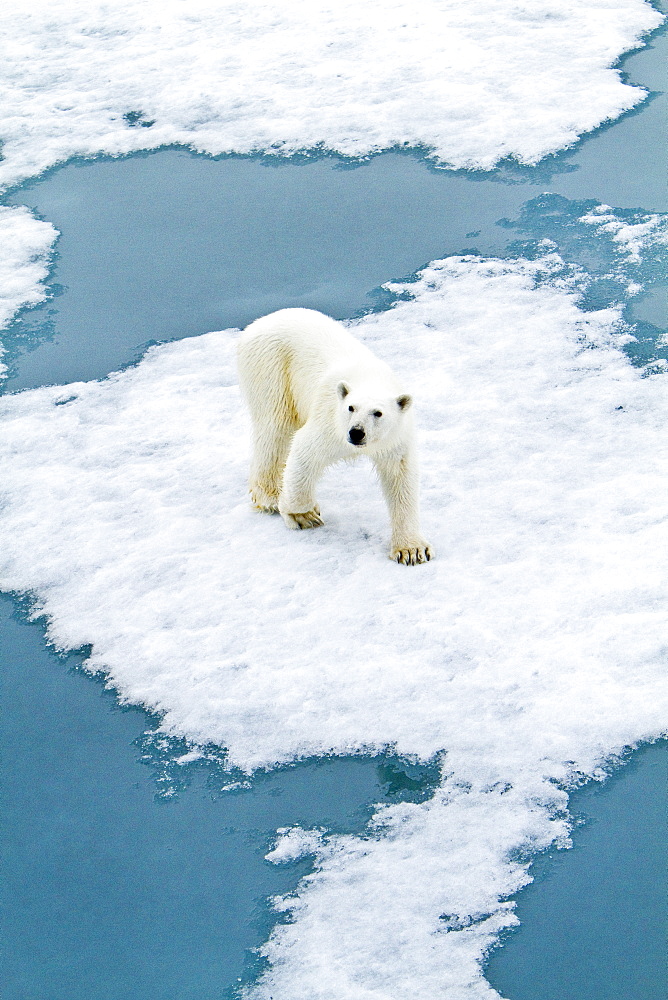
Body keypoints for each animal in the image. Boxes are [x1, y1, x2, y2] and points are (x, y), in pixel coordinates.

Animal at [235, 306, 434, 564]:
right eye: (351, 408)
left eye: (378, 413)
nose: (356, 433)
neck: (371, 379)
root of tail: (258, 323)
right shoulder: (331, 422)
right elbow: (305, 452)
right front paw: (303, 514)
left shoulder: (395, 438)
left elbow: (401, 478)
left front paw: (411, 550)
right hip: (270, 366)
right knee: (275, 427)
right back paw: (269, 497)